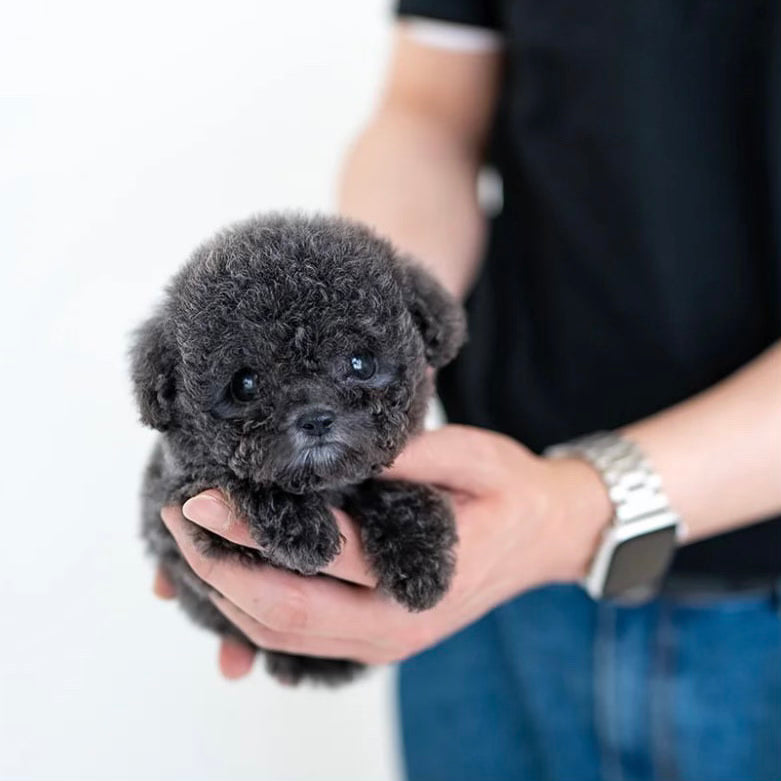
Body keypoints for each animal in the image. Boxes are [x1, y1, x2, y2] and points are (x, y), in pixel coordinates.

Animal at [131, 213, 466, 684]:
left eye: (361, 363)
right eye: (245, 384)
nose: (316, 419)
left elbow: (384, 485)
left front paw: (420, 555)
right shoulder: (175, 513)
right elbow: (232, 477)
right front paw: (301, 528)